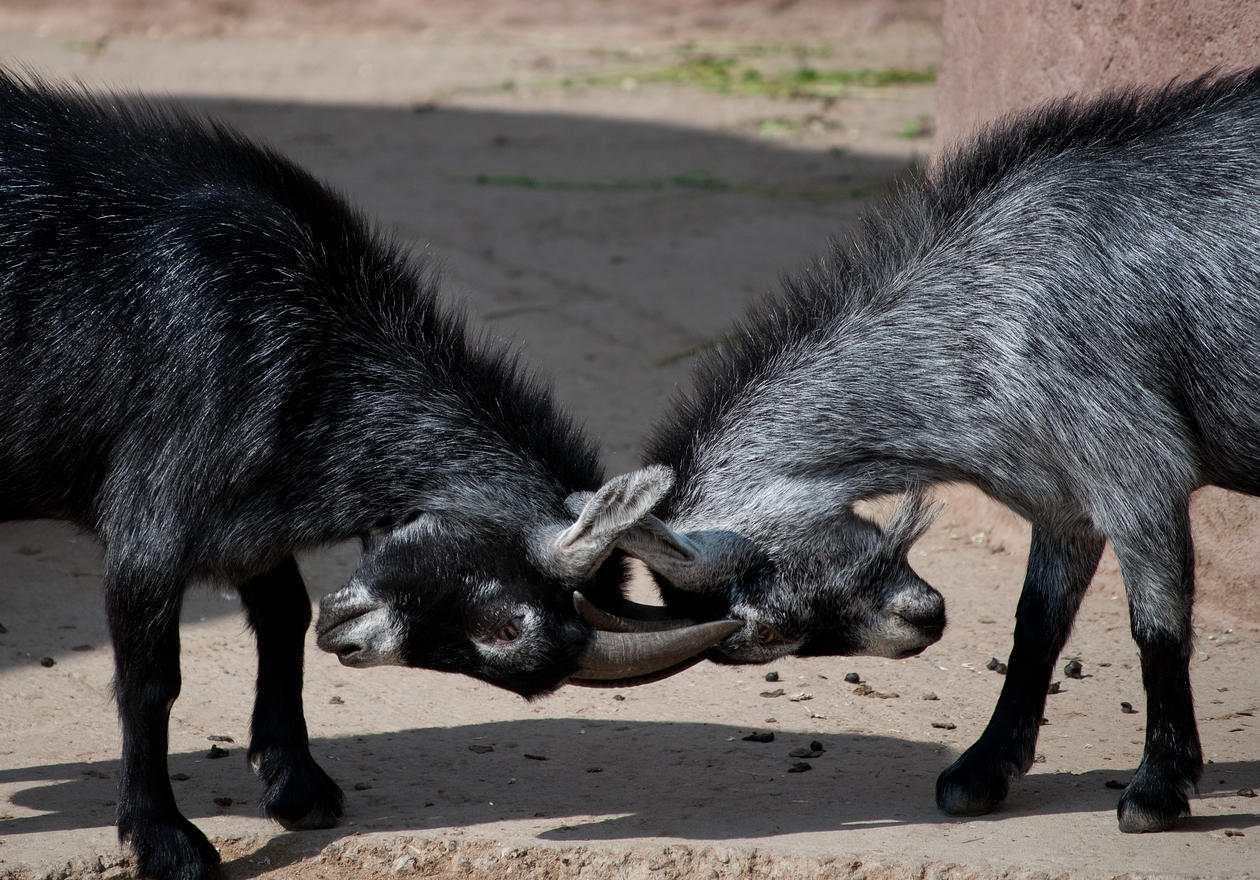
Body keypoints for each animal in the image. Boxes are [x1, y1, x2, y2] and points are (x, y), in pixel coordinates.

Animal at [0, 70, 730, 877]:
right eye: (509, 626)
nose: (352, 642)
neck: (311, 350)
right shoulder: (152, 518)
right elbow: (152, 679)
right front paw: (165, 839)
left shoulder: (248, 518)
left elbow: (283, 613)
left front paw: (297, 783)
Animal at [627, 71, 1260, 832]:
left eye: (773, 631)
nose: (918, 628)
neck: (987, 312)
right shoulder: (1064, 500)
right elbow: (1036, 623)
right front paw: (983, 771)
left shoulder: (1137, 470)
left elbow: (1158, 625)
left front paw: (1158, 789)